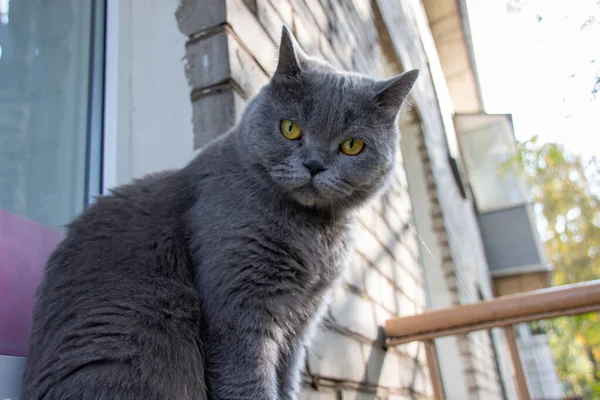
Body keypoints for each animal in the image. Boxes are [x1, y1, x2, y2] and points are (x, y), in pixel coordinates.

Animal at [22, 26, 418, 398]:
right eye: (290, 128)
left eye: (352, 146)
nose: (314, 165)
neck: (314, 236)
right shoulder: (239, 306)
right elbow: (248, 382)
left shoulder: (302, 320)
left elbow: (286, 380)